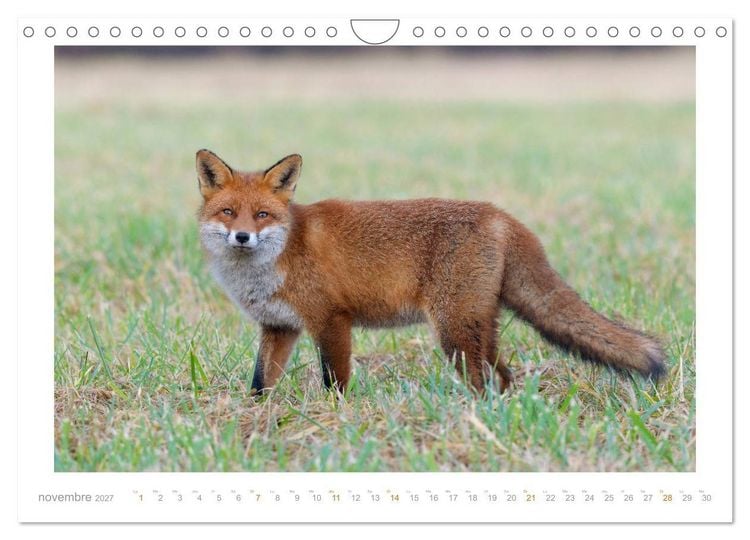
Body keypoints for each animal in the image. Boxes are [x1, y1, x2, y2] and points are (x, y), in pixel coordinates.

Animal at [195, 149, 666, 396]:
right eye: (228, 212)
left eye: (262, 214)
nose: (242, 237)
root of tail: (501, 215)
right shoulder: (279, 327)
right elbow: (260, 383)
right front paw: (258, 417)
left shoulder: (331, 320)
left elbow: (335, 382)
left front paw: (336, 418)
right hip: (477, 327)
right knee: (503, 376)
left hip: (453, 329)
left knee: (482, 381)